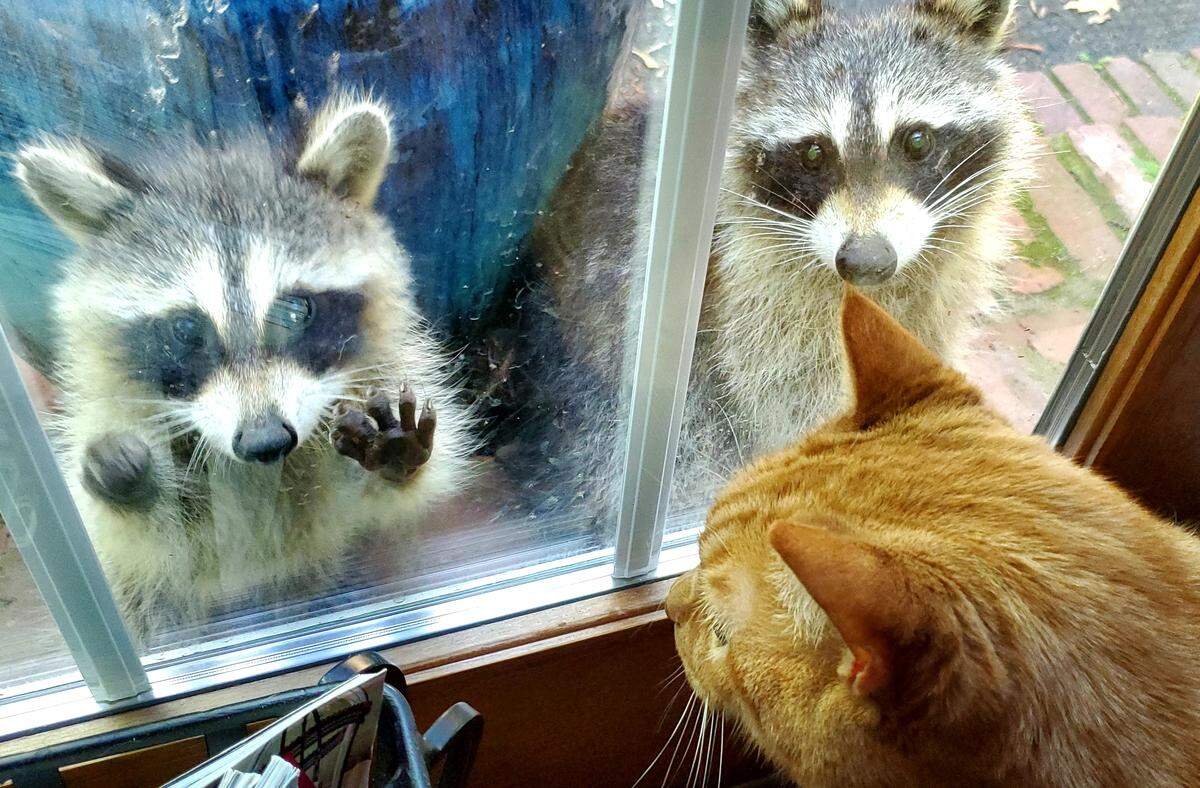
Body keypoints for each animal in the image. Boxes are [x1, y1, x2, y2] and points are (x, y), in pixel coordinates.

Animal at [14, 93, 472, 629]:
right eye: (186, 330)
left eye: (294, 311)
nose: (265, 441)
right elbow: (139, 550)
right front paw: (131, 484)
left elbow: (375, 506)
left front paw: (392, 456)